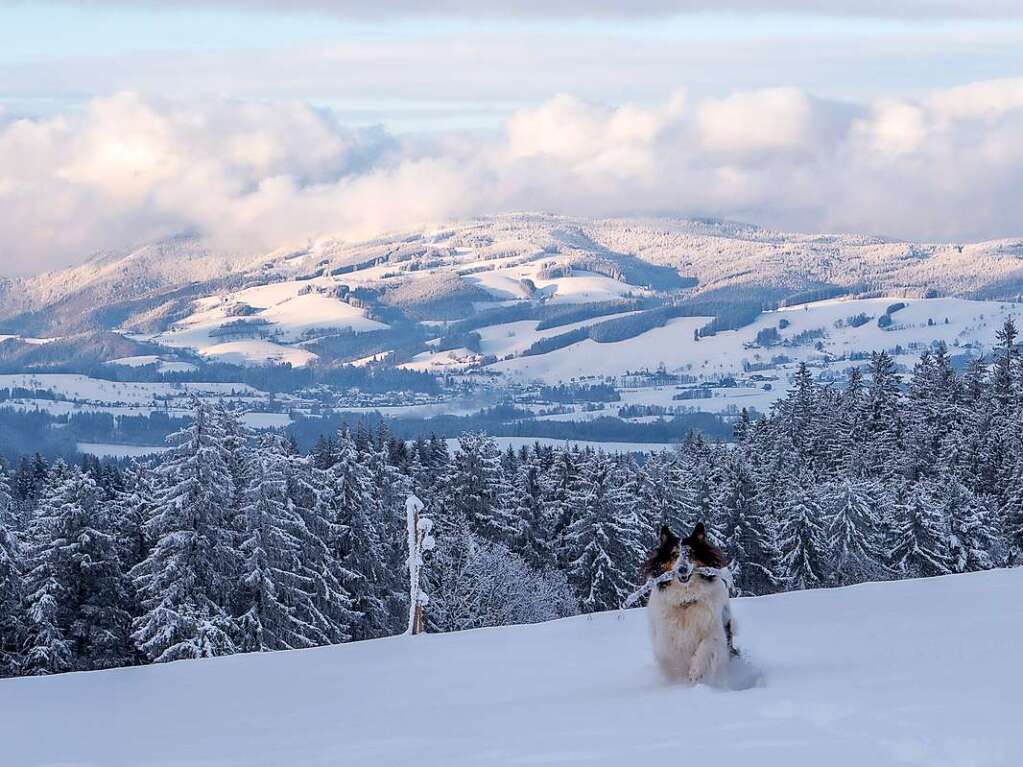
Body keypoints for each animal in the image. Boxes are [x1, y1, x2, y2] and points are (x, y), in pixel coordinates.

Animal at [638, 523, 736, 683]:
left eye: (690, 553)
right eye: (674, 555)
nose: (682, 569)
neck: (686, 601)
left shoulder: (714, 629)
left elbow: (706, 647)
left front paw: (695, 672)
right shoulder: (667, 637)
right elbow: (672, 655)